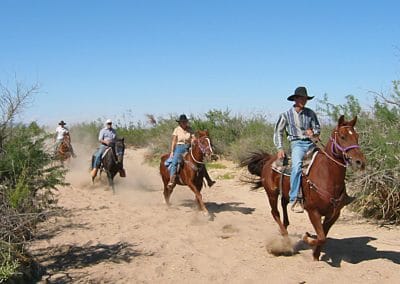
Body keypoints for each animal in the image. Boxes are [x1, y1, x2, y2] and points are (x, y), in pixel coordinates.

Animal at [241, 115, 366, 260]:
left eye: (357, 136)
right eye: (342, 136)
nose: (360, 162)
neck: (327, 176)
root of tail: (268, 160)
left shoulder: (334, 214)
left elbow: (323, 236)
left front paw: (316, 255)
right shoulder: (313, 212)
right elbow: (321, 237)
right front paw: (307, 237)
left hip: (285, 193)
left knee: (284, 206)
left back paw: (285, 228)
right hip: (271, 193)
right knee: (275, 212)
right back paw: (285, 239)